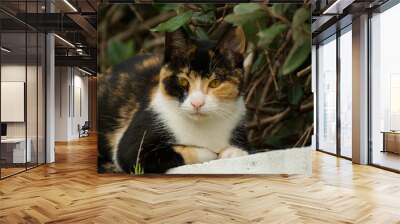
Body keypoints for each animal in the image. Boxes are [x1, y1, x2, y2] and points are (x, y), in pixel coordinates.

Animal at [98, 26, 250, 173]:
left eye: (215, 83)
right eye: (183, 81)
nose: (197, 103)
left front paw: (235, 152)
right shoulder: (131, 148)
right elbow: (183, 151)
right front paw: (212, 153)